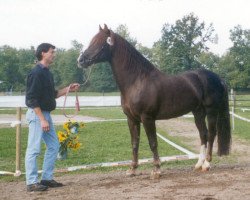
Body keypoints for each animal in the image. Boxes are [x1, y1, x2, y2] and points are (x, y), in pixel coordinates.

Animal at [77, 24, 231, 179]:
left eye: (100, 42)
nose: (81, 60)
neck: (137, 81)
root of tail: (218, 78)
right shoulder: (131, 119)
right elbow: (135, 143)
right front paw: (132, 169)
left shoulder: (147, 118)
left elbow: (153, 143)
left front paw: (156, 170)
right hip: (198, 112)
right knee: (203, 134)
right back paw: (199, 164)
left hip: (211, 111)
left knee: (211, 134)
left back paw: (207, 164)